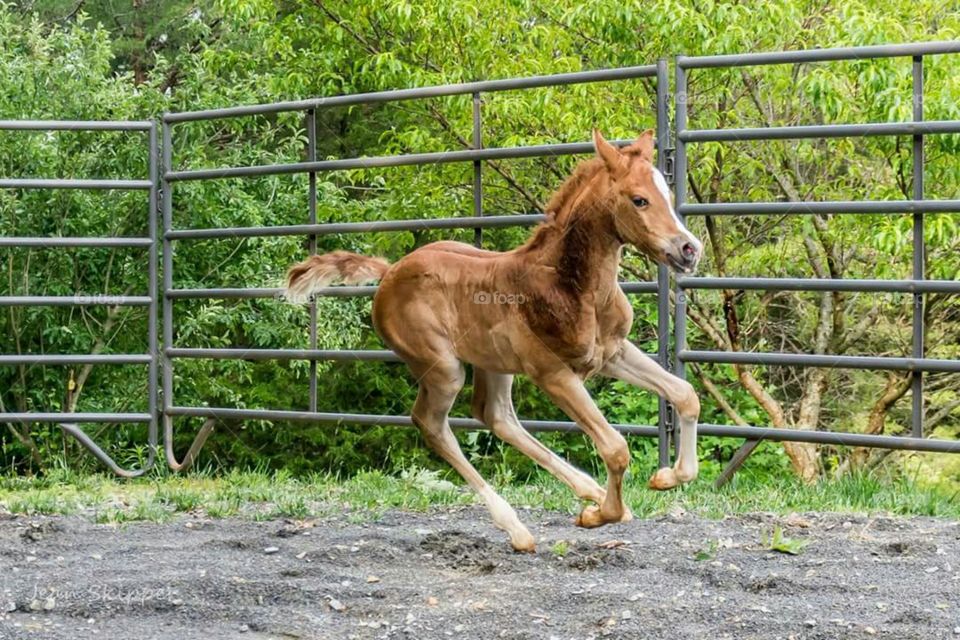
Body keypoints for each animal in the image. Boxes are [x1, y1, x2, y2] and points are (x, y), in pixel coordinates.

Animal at [286, 129, 703, 552]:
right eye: (639, 199)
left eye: (667, 192)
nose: (689, 249)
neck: (571, 286)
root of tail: (389, 273)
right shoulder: (553, 373)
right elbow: (615, 448)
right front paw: (599, 515)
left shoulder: (612, 352)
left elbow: (685, 395)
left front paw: (667, 478)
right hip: (443, 369)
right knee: (431, 423)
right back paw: (517, 526)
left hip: (495, 362)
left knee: (496, 416)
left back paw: (587, 490)